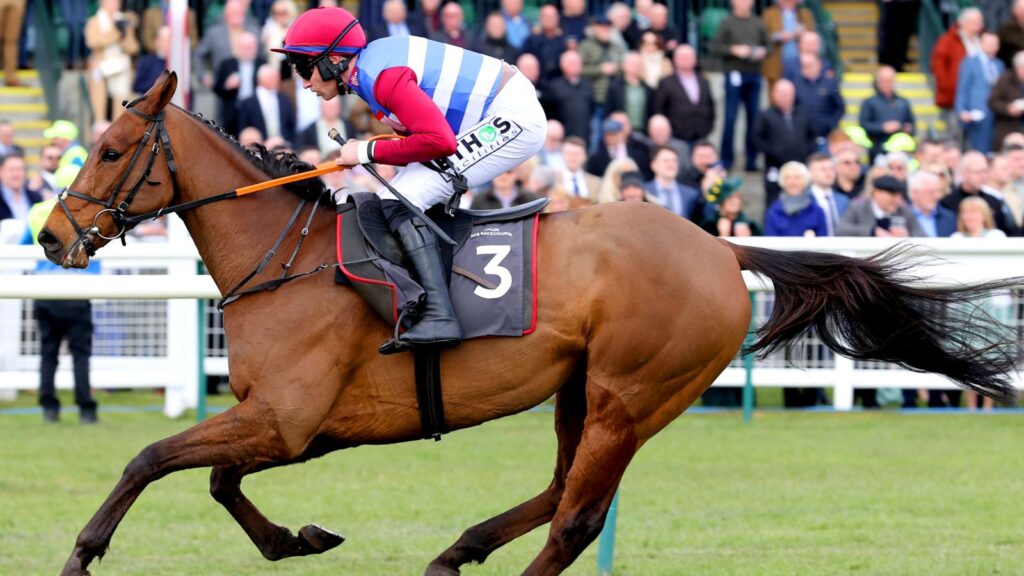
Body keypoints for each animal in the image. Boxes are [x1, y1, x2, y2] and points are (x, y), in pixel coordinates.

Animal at [37, 71, 1015, 573]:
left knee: (576, 519)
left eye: (113, 151)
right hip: (581, 390)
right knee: (559, 492)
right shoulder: (295, 427)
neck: (289, 257)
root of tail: (717, 245)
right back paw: (455, 551)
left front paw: (83, 551)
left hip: (631, 394)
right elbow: (212, 478)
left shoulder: (287, 418)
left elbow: (152, 458)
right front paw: (298, 539)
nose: (50, 236)